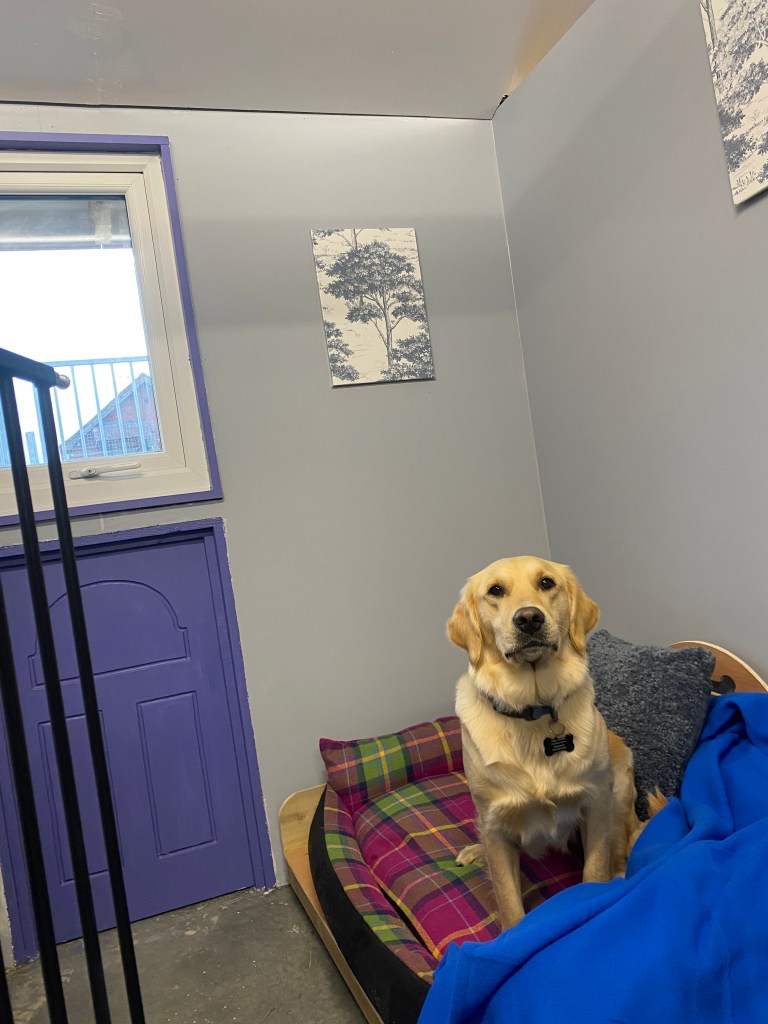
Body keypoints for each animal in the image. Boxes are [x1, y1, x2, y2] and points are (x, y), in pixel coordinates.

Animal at [447, 556, 642, 929]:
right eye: (495, 590)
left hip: (620, 791)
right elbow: (508, 901)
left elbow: (595, 871)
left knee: (620, 849)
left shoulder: (595, 803)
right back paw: (474, 850)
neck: (533, 710)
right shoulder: (495, 825)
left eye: (546, 583)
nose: (528, 618)